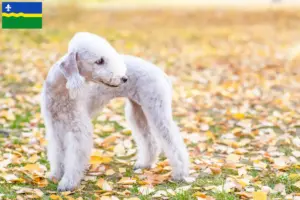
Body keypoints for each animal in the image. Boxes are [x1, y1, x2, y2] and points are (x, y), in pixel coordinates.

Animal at [40, 32, 190, 191]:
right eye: (99, 61)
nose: (124, 78)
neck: (62, 90)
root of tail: (161, 72)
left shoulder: (79, 127)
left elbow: (74, 156)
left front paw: (68, 183)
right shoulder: (55, 126)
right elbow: (58, 152)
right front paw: (56, 174)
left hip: (157, 109)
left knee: (173, 142)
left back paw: (180, 174)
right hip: (137, 111)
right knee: (150, 141)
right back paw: (144, 164)